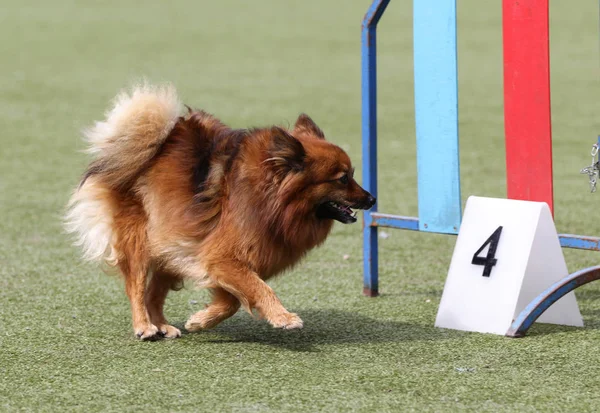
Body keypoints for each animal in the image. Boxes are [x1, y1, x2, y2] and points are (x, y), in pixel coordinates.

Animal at [67, 83, 376, 338]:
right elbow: (258, 288)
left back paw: (163, 325)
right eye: (343, 178)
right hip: (141, 240)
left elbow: (233, 301)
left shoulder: (223, 260)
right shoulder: (221, 257)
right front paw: (283, 317)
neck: (269, 200)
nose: (372, 199)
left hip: (174, 241)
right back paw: (144, 326)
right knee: (137, 285)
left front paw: (201, 320)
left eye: (352, 174)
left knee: (154, 292)